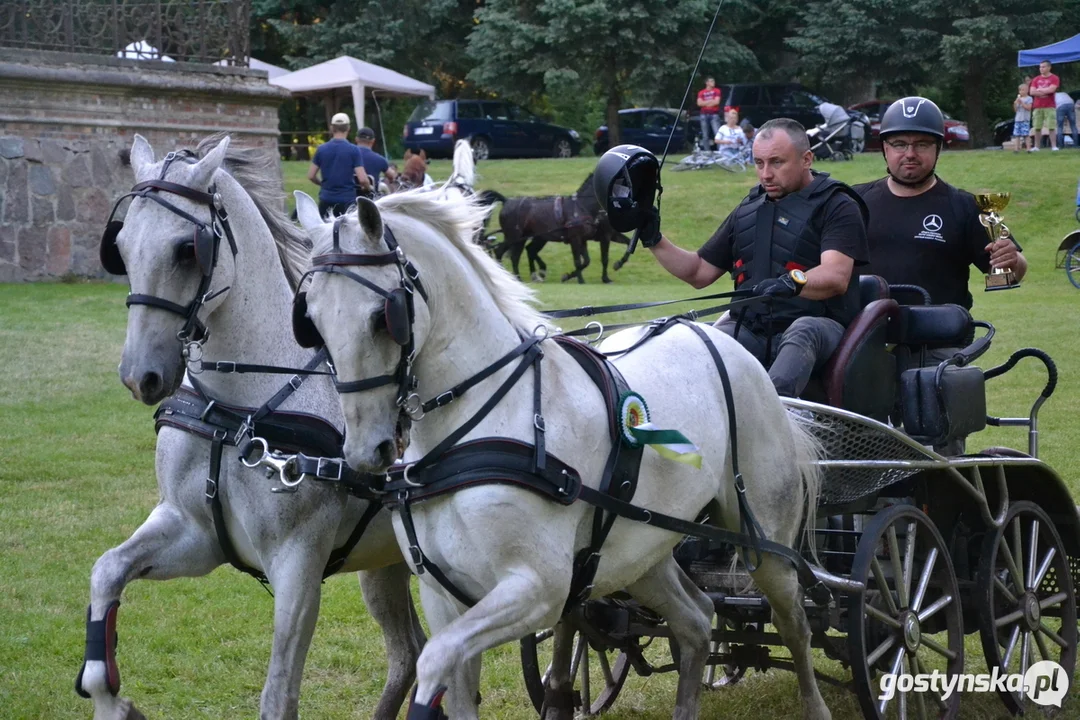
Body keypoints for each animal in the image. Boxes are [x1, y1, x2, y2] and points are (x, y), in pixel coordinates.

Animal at [81, 133, 421, 720]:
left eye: (186, 249)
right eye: (120, 246)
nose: (139, 375)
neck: (239, 413)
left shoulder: (298, 564)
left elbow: (279, 694)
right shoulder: (194, 535)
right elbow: (106, 571)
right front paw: (114, 703)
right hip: (386, 563)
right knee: (413, 655)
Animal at [291, 185, 829, 720]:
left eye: (382, 318)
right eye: (311, 320)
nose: (367, 449)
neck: (475, 428)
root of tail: (715, 337)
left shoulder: (540, 589)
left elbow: (433, 660)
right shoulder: (443, 595)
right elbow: (453, 684)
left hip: (766, 544)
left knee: (794, 623)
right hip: (640, 552)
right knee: (696, 620)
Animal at [488, 173, 630, 284]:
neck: (582, 206)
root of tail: (507, 201)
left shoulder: (586, 239)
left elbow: (587, 261)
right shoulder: (579, 238)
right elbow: (580, 261)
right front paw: (581, 279)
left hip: (528, 237)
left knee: (521, 253)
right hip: (515, 236)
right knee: (505, 253)